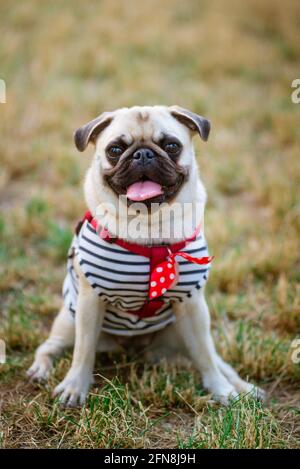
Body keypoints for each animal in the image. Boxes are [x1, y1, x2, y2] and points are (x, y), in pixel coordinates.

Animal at [27, 106, 264, 406]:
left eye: (172, 146)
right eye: (115, 150)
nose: (142, 154)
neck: (148, 229)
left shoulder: (192, 305)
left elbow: (206, 357)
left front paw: (221, 390)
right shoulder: (89, 303)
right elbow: (83, 351)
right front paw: (74, 387)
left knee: (215, 359)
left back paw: (244, 388)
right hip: (69, 321)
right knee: (50, 346)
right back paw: (41, 369)